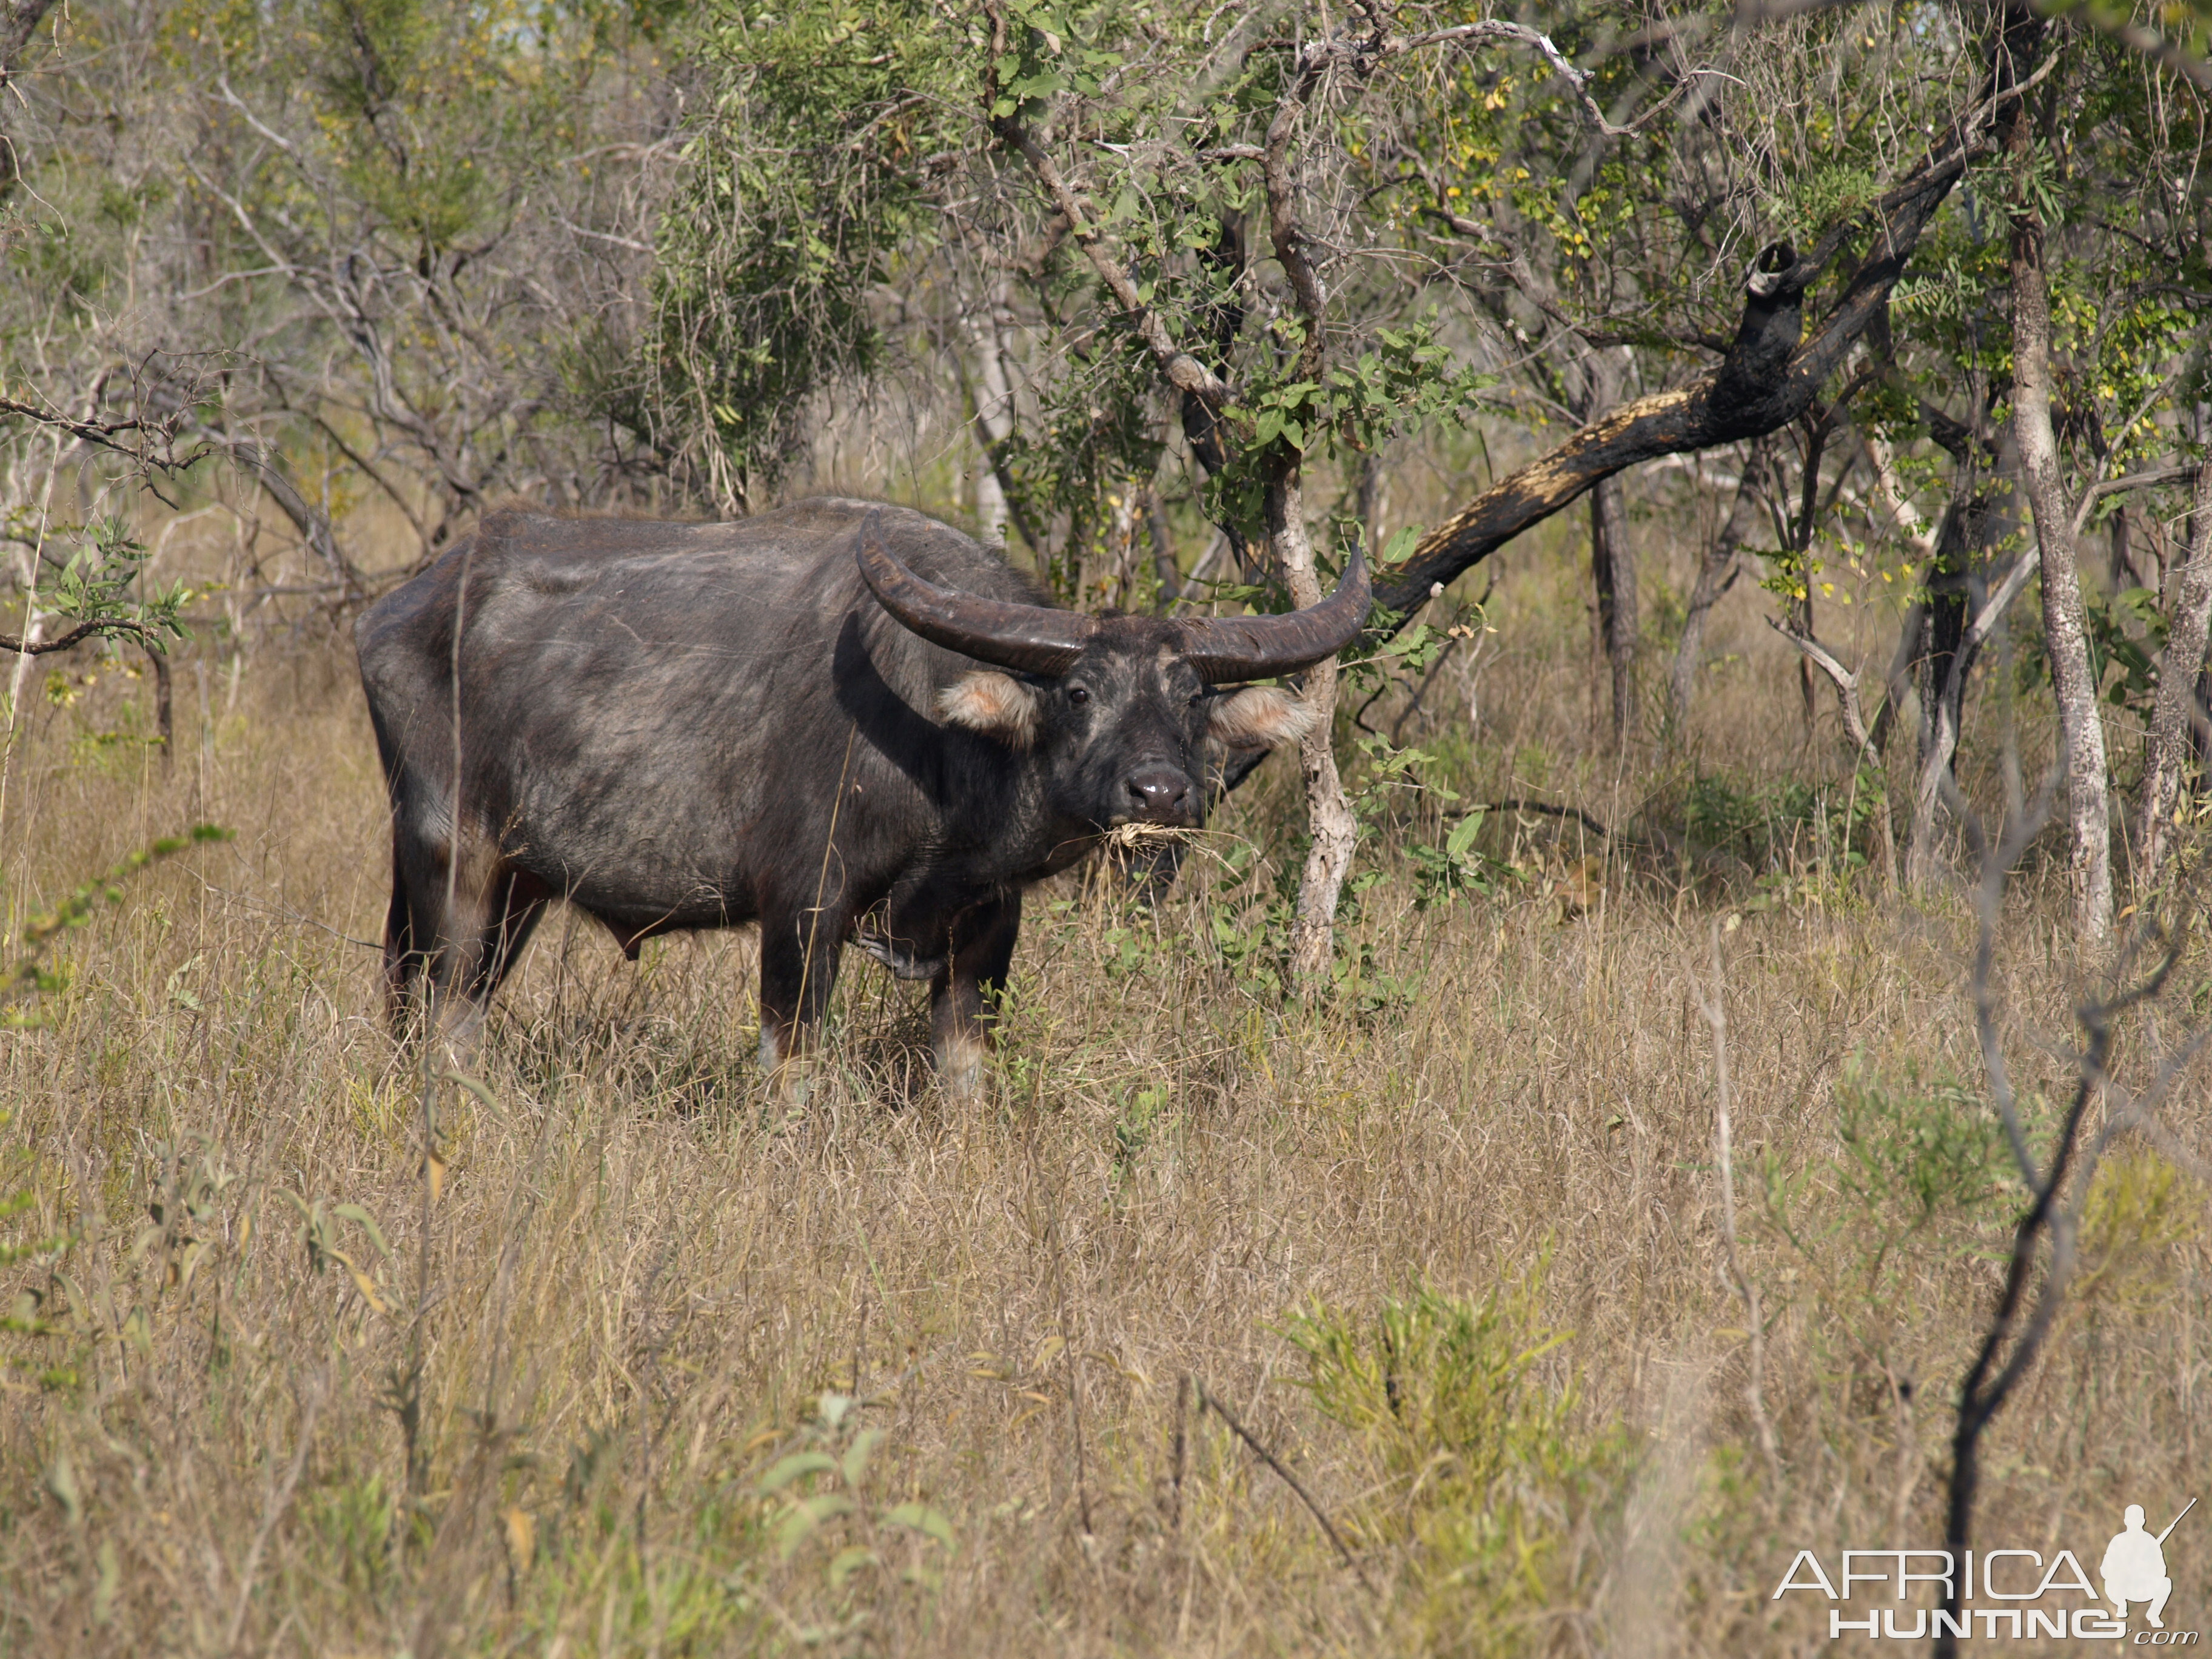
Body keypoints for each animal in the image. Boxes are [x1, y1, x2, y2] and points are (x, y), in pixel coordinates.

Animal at [358, 500, 1362, 1097]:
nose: (1161, 790)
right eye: (1080, 692)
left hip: (519, 889)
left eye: (1191, 698)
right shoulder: (804, 912)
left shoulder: (984, 937)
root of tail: (401, 610)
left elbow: (964, 1079)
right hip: (451, 864)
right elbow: (793, 1070)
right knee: (431, 1010)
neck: (944, 760)